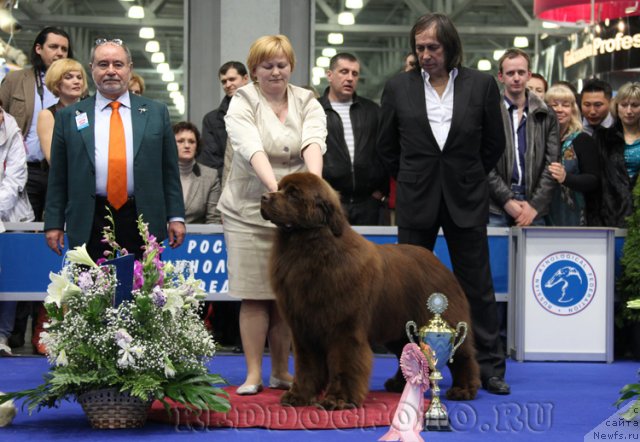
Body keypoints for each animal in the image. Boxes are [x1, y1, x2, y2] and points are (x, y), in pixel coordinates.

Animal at [260, 171, 480, 410]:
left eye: (293, 194)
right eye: (279, 188)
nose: (264, 197)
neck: (309, 250)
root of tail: (439, 263)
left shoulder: (344, 328)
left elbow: (345, 363)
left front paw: (339, 399)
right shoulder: (303, 328)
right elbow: (307, 365)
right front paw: (299, 396)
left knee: (463, 356)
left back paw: (463, 389)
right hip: (399, 327)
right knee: (409, 351)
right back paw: (400, 384)